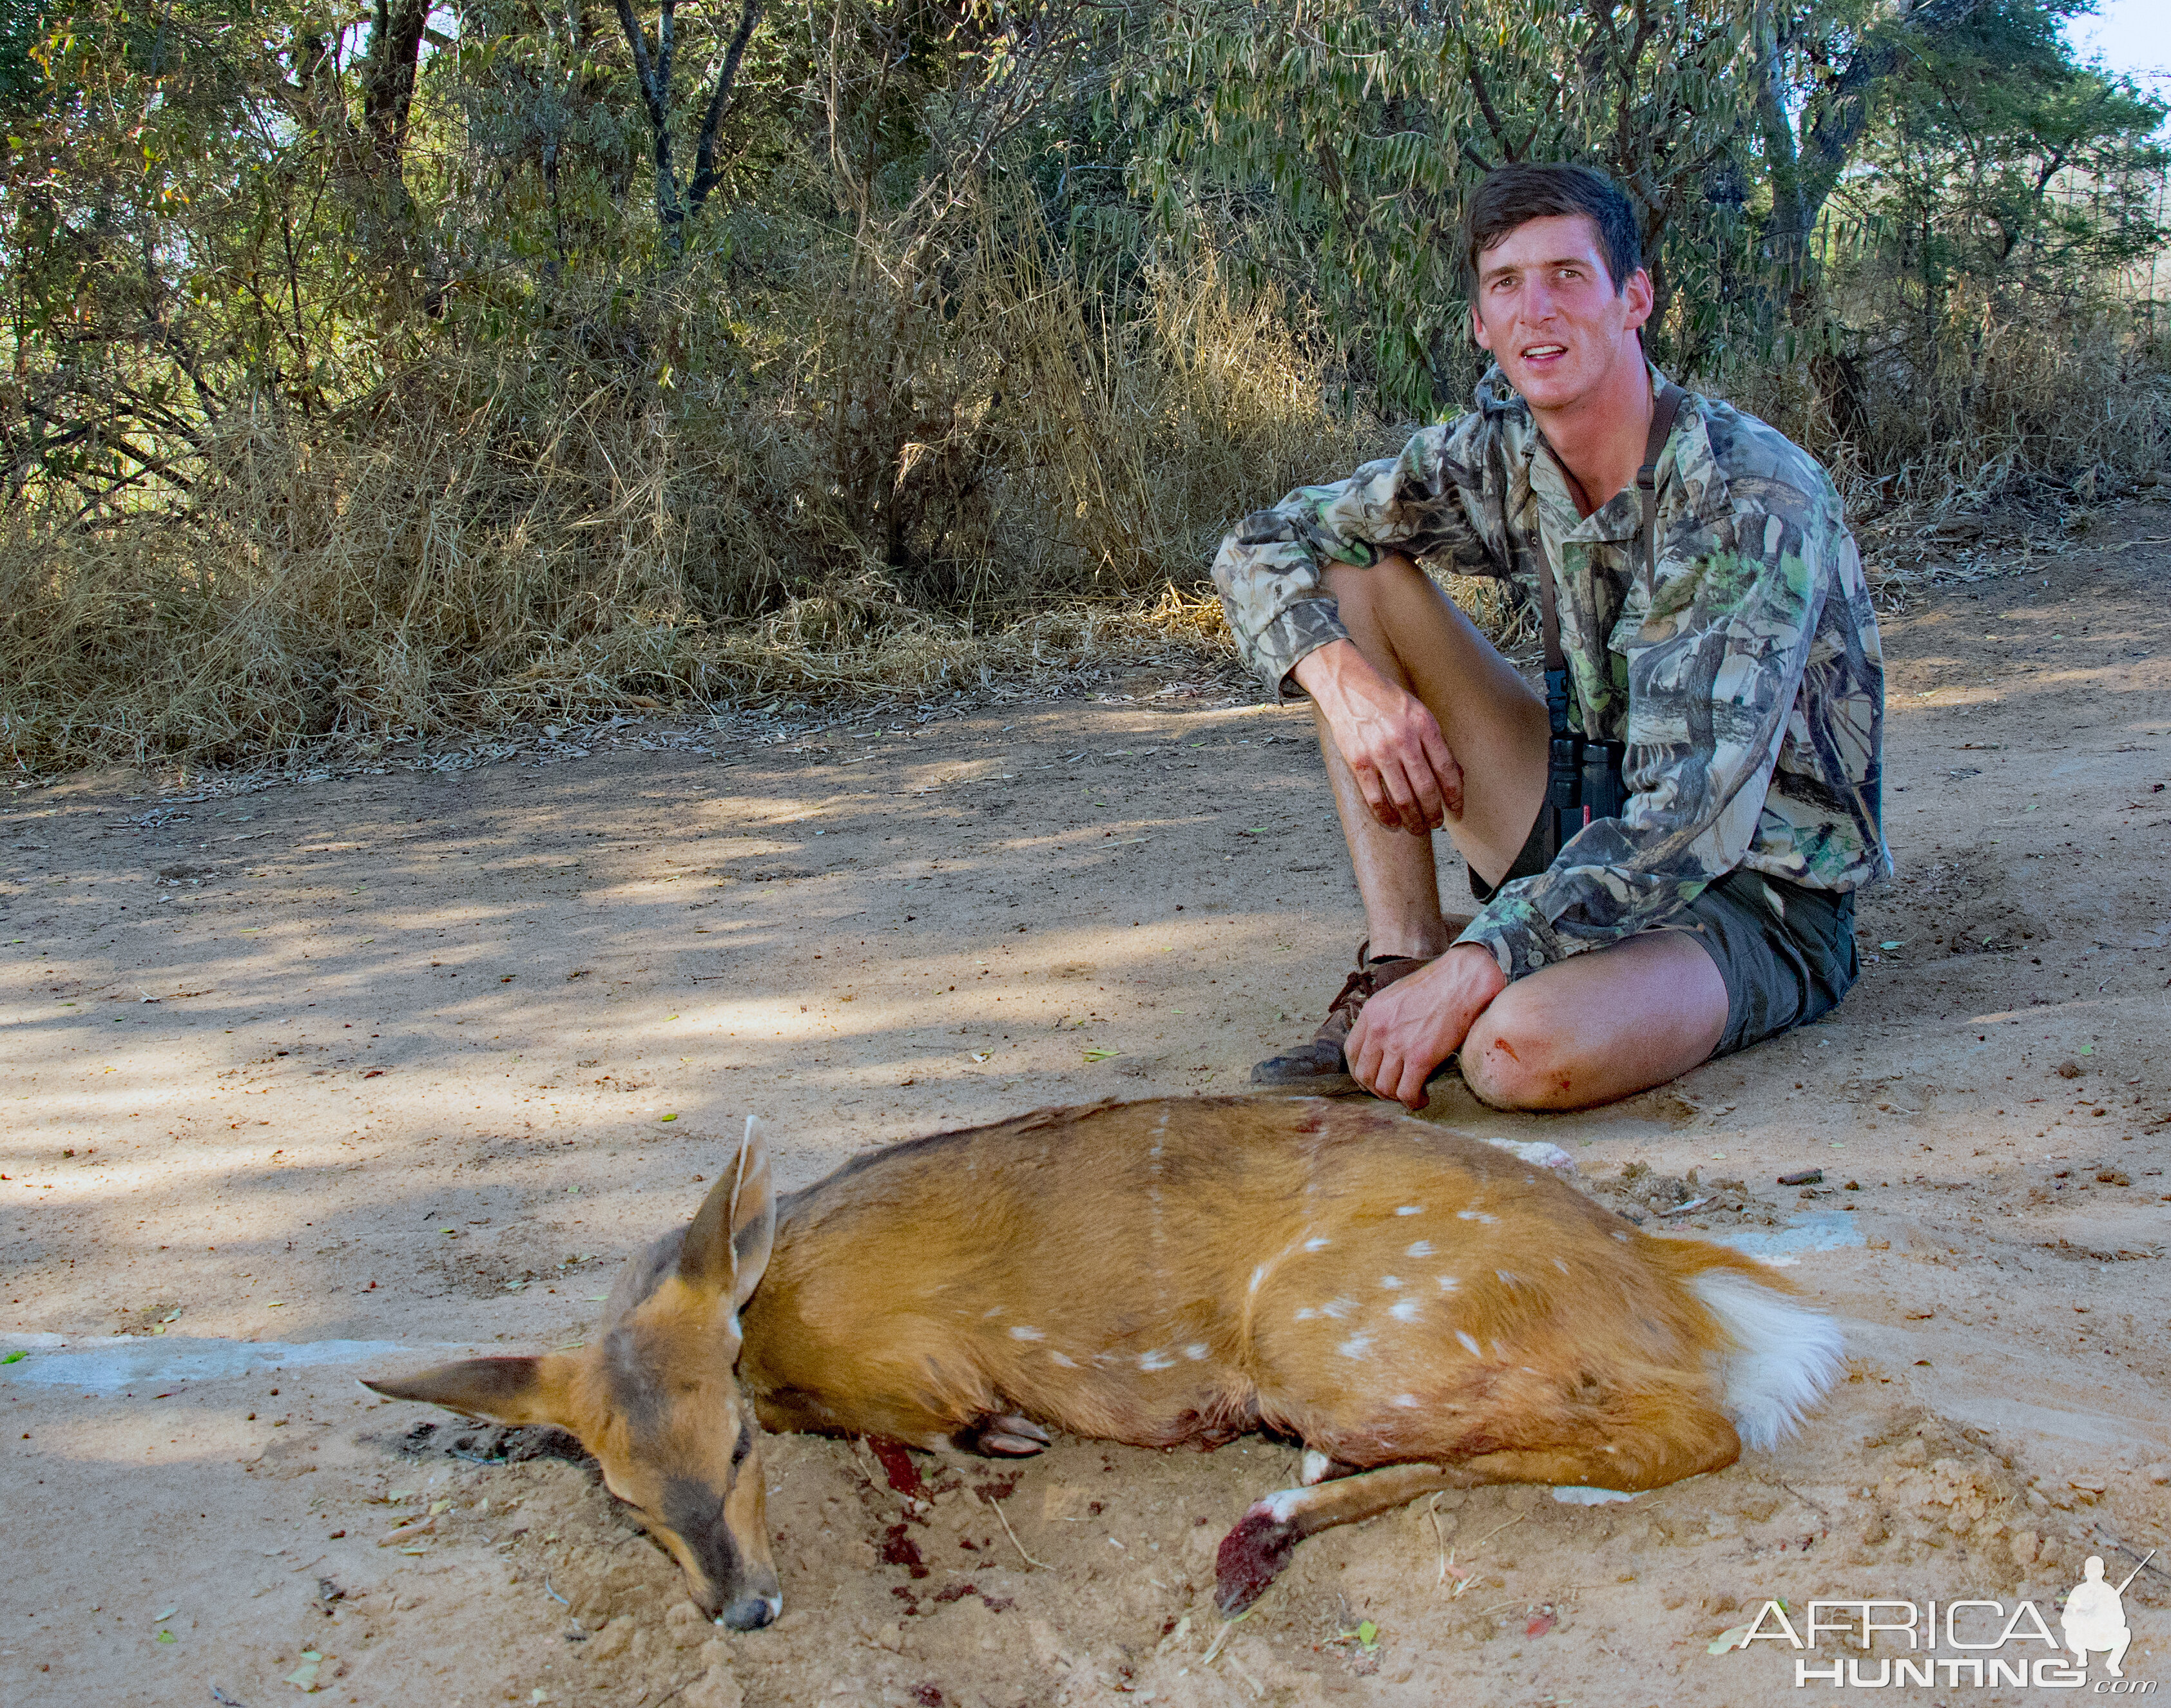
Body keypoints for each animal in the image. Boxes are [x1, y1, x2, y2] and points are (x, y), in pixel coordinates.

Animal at [369, 1093, 1832, 1632]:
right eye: (620, 1498)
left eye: (729, 1447)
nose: (745, 1609)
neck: (775, 1309)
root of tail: (1666, 1291)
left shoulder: (910, 1368)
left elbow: (916, 1417)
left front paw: (999, 1435)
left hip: (1336, 1329)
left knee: (1683, 1427)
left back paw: (1262, 1519)